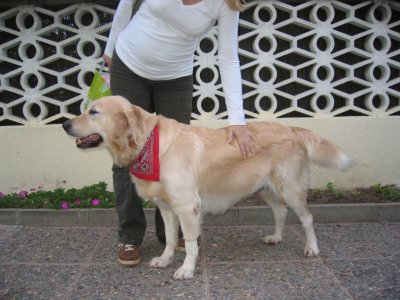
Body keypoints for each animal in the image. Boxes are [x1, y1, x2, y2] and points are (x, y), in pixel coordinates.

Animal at [61, 95, 350, 278]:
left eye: (93, 112)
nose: (64, 124)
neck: (150, 145)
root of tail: (292, 128)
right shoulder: (167, 207)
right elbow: (169, 239)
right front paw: (165, 259)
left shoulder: (187, 207)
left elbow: (190, 242)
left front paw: (187, 269)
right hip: (266, 189)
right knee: (280, 213)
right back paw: (276, 237)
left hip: (291, 189)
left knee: (307, 218)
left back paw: (312, 248)